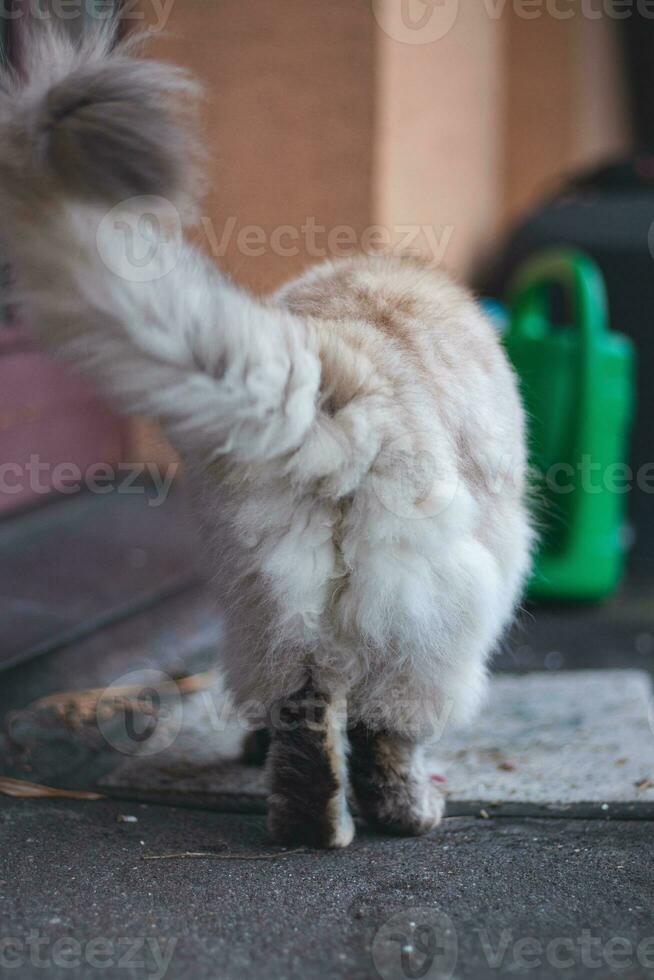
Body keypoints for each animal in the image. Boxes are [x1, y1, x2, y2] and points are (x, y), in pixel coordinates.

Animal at [0, 23, 532, 848]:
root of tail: (343, 380)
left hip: (270, 610)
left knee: (303, 722)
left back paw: (310, 825)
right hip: (439, 620)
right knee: (384, 733)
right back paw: (406, 818)